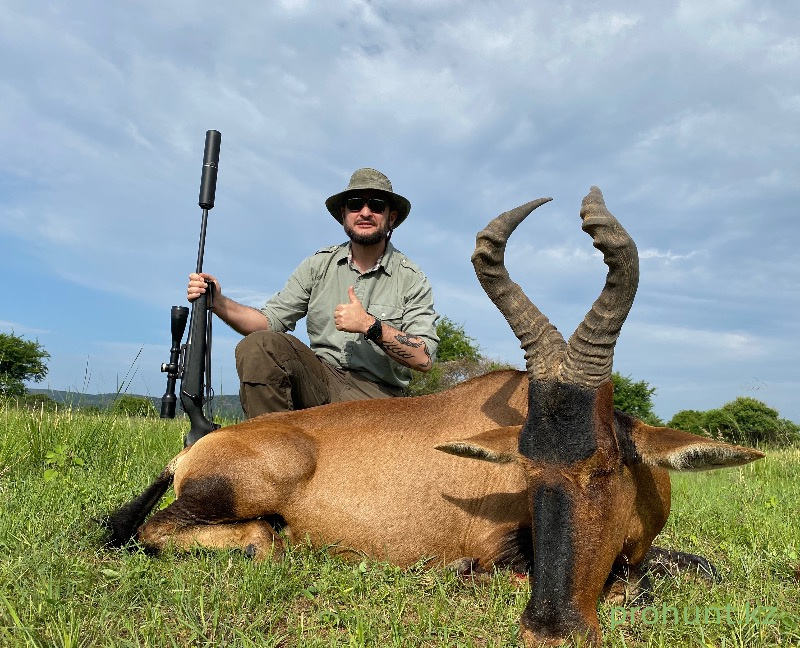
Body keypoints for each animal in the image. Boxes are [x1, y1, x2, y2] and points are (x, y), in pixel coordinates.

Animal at [106, 185, 764, 644]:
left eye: (605, 464)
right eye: (526, 469)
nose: (549, 630)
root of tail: (193, 449)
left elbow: (697, 567)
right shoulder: (500, 551)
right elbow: (626, 586)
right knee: (162, 532)